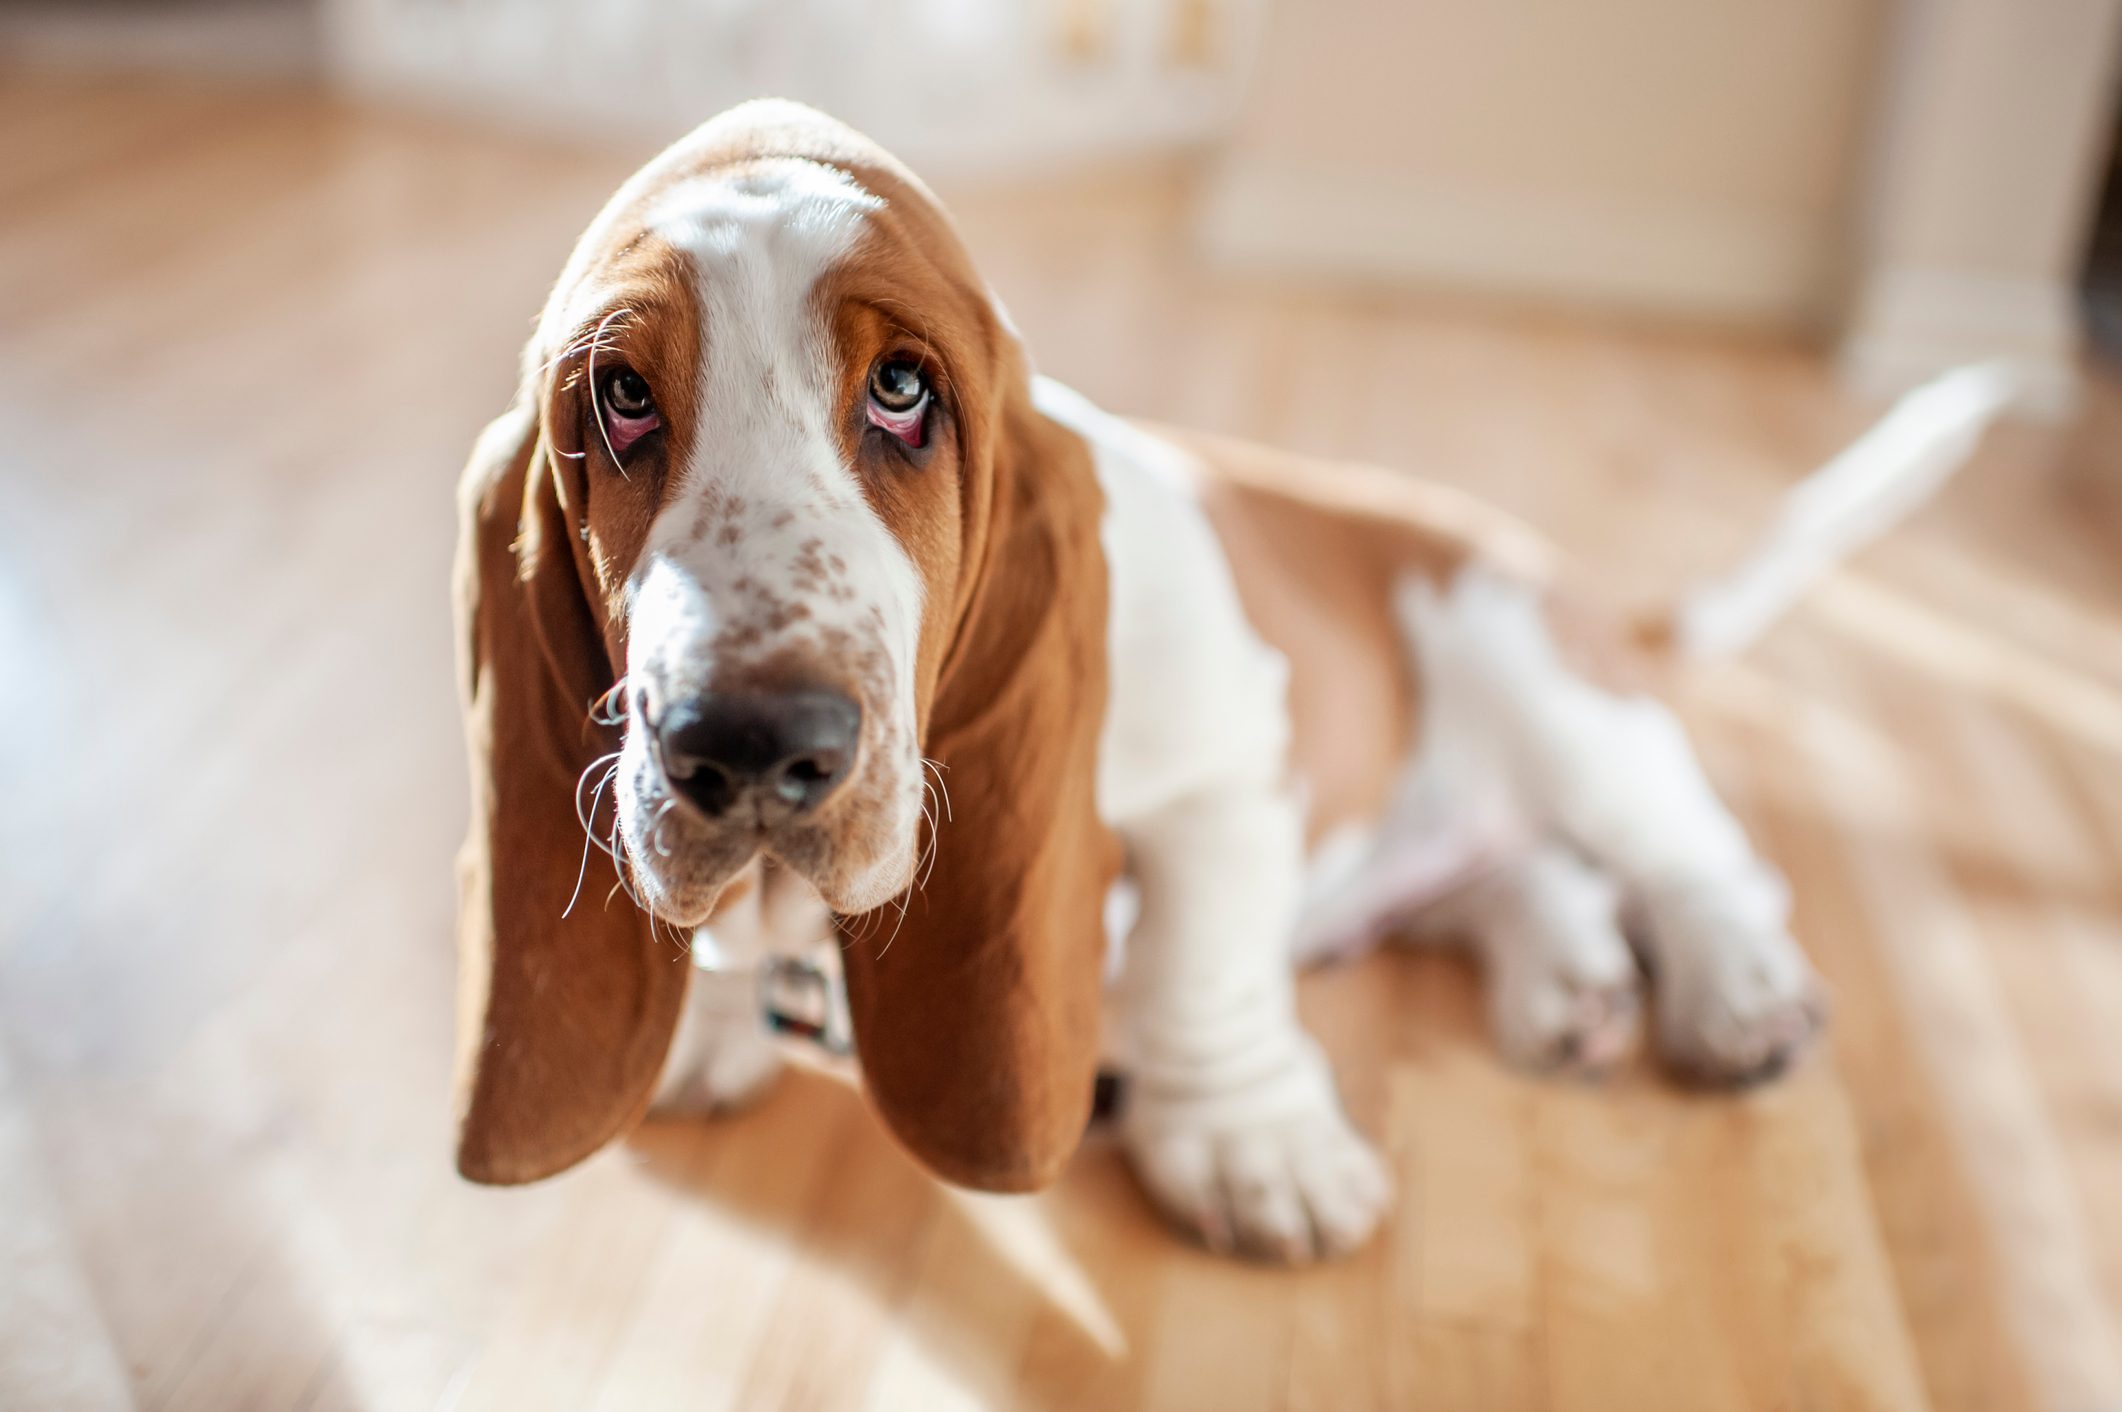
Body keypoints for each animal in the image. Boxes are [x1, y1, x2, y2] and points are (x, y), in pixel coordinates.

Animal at [451, 101, 2020, 1265]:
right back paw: (1563, 984)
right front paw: (708, 1024)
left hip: (1543, 683)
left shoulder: (1230, 766)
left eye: (903, 392)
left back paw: (1733, 994)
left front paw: (1249, 1142)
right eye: (621, 399)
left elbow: (1202, 956)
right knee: (1519, 877)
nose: (747, 743)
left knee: (1697, 867)